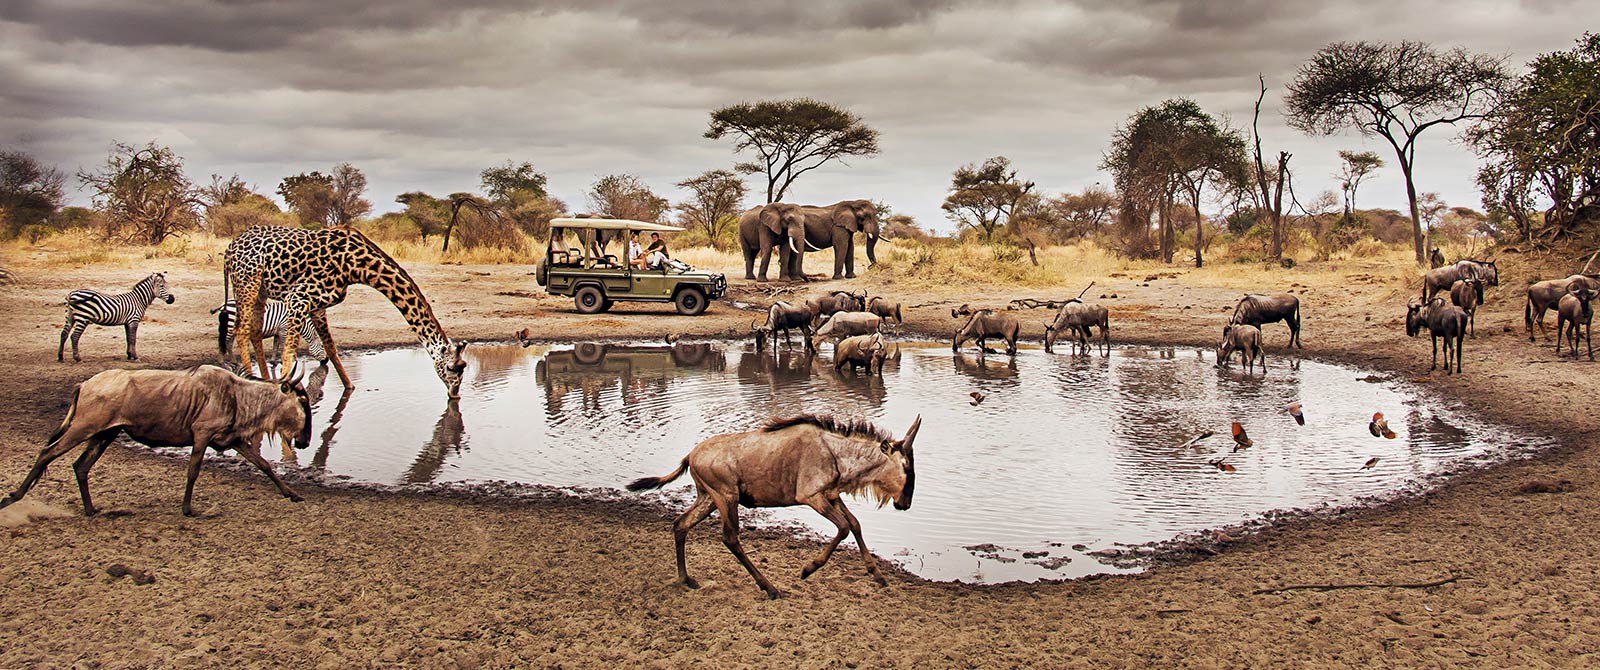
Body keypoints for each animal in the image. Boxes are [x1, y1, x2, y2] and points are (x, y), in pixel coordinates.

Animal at [224, 225, 467, 398]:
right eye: (453, 368)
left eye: (463, 368)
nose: (455, 395)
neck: (357, 267)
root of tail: (229, 249)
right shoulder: (297, 298)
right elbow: (289, 352)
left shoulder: (318, 305)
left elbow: (331, 348)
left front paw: (350, 387)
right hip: (247, 283)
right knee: (241, 331)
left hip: (261, 291)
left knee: (254, 331)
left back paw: (264, 380)